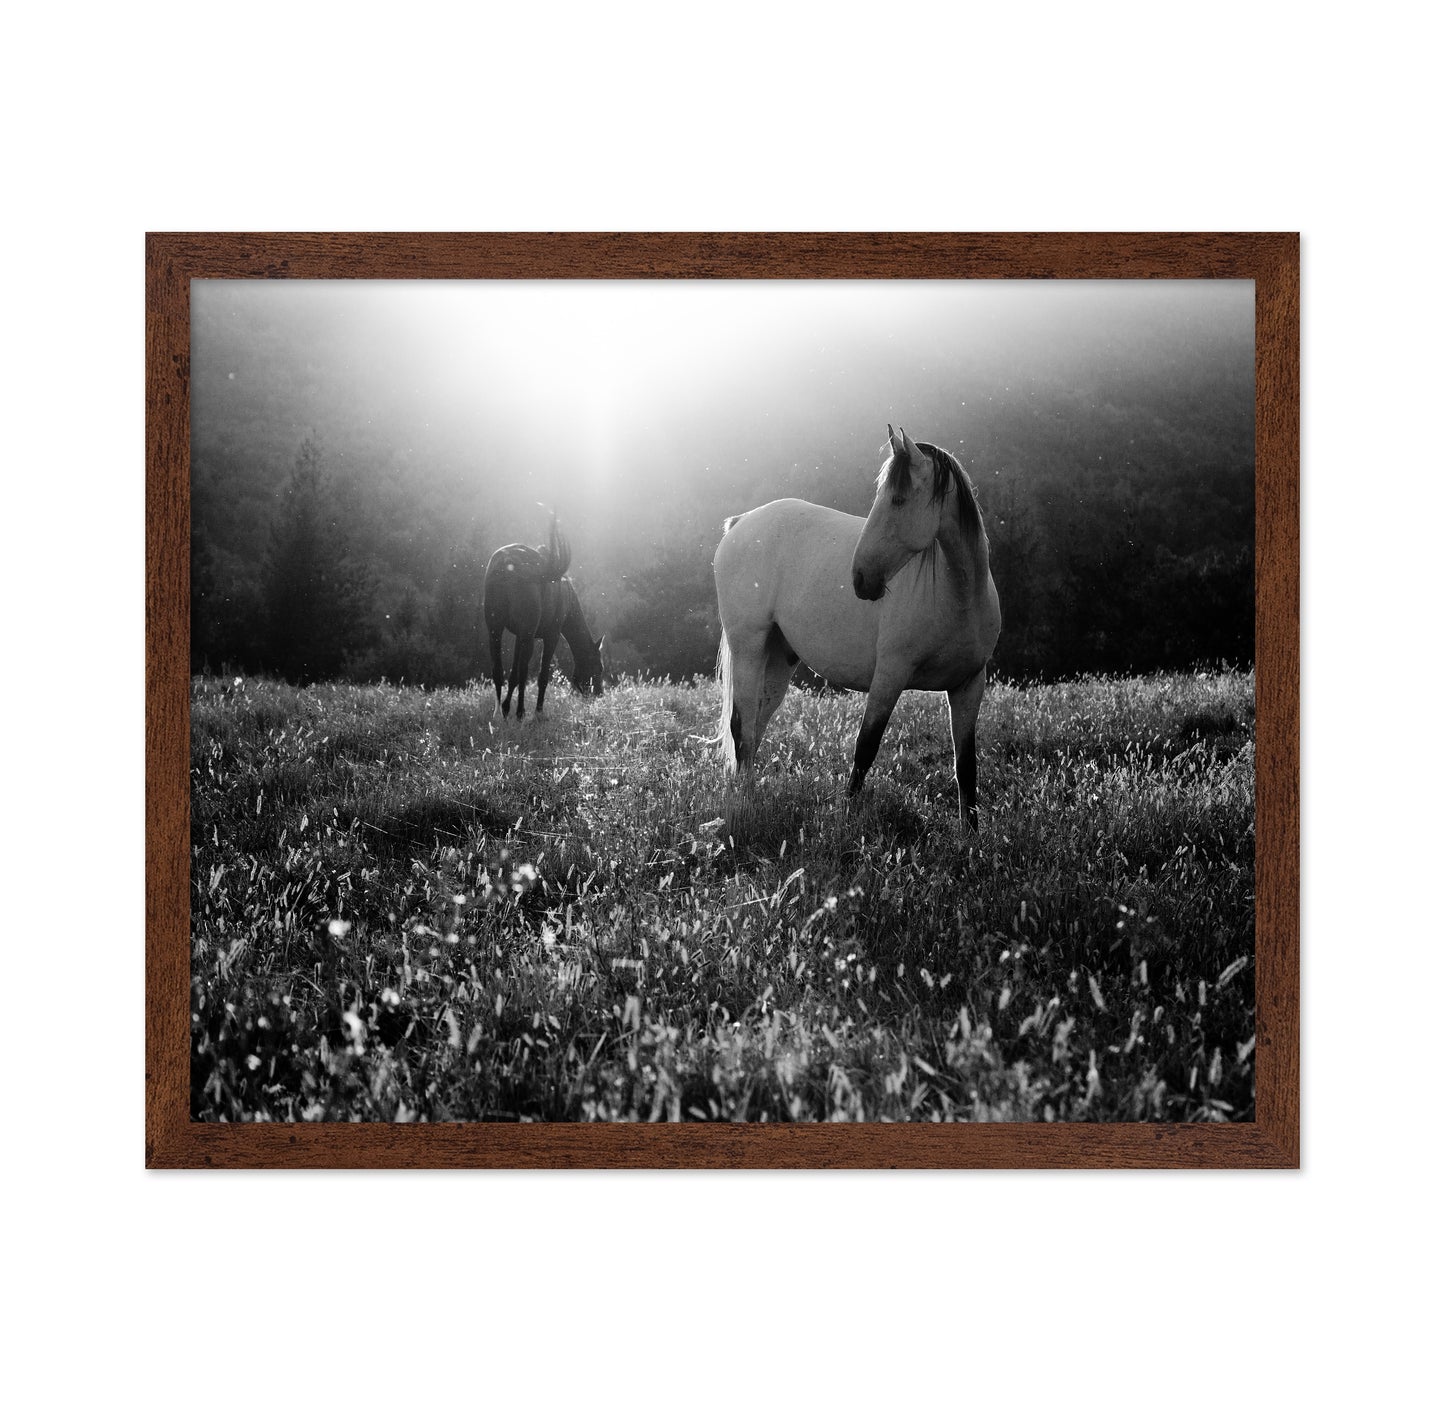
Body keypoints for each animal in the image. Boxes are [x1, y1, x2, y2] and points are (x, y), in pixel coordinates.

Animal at [483, 517, 606, 719]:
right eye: (598, 666)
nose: (599, 694)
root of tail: (507, 565)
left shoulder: (520, 636)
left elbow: (513, 674)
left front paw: (506, 707)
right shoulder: (550, 635)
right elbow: (541, 676)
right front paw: (538, 712)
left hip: (496, 628)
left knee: (498, 670)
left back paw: (497, 714)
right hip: (526, 633)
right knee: (524, 671)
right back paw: (520, 712)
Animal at [712, 425, 1001, 829]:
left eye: (897, 500)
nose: (860, 579)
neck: (958, 595)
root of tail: (741, 523)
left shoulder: (969, 686)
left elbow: (967, 767)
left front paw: (970, 836)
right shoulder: (890, 676)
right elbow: (865, 749)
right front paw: (846, 820)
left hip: (778, 659)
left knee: (754, 729)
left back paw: (749, 800)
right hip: (749, 649)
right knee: (741, 728)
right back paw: (742, 808)